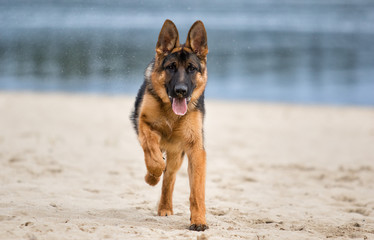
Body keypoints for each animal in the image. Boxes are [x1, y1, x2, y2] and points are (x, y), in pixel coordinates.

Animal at [131, 20, 207, 231]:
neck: (172, 115)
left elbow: (197, 190)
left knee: (170, 178)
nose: (180, 91)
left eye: (191, 68)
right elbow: (154, 158)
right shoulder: (144, 124)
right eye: (171, 67)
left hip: (176, 157)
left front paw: (199, 220)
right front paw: (152, 176)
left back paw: (165, 207)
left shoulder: (196, 149)